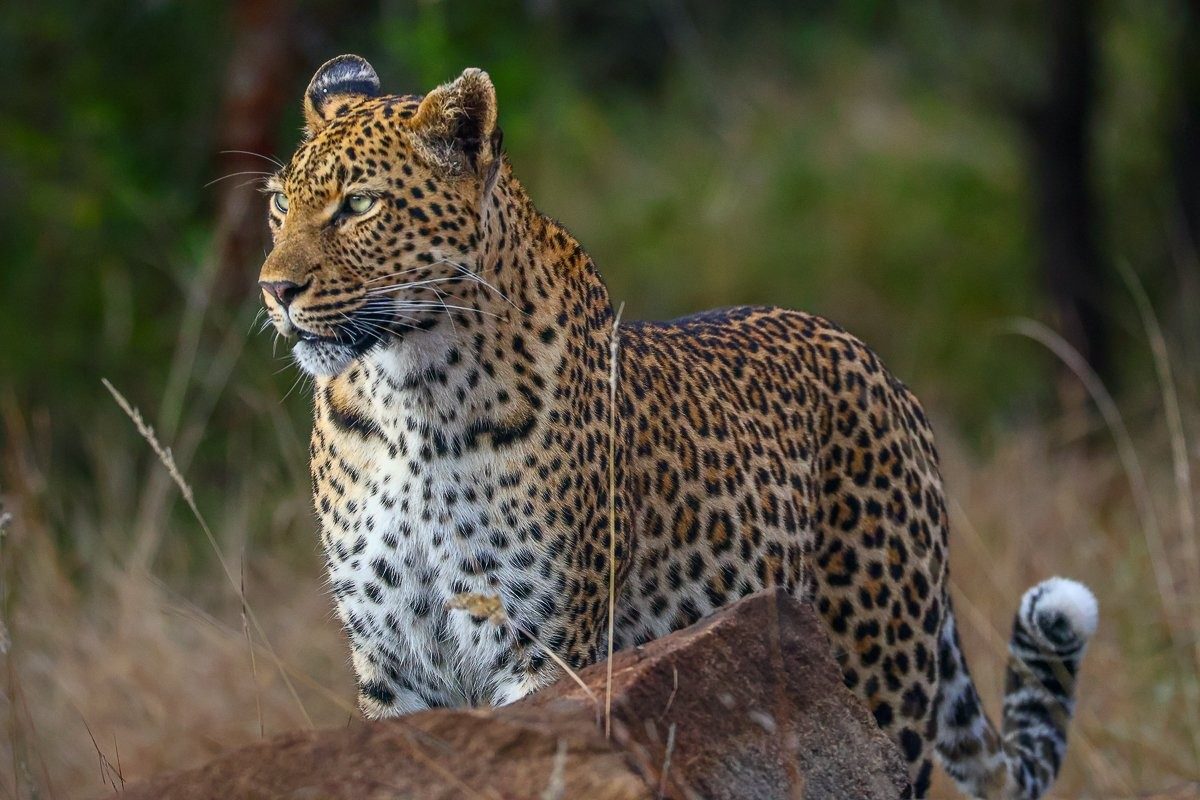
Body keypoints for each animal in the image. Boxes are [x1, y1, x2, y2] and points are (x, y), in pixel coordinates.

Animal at [257, 54, 1098, 799]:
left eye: (360, 205)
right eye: (279, 206)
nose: (274, 290)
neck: (411, 394)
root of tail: (886, 375)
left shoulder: (540, 648)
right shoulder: (392, 658)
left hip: (884, 673)